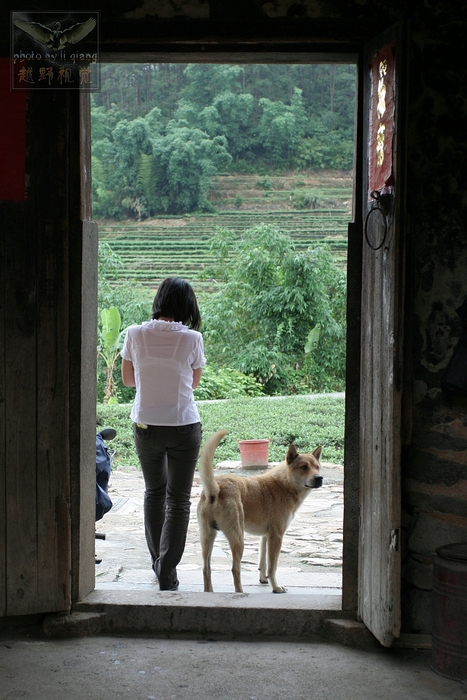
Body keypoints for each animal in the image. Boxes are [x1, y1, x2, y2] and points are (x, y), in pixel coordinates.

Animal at [196, 430, 324, 592]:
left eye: (317, 467)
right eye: (304, 467)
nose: (319, 478)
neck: (285, 485)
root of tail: (215, 489)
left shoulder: (265, 536)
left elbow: (263, 562)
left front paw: (263, 579)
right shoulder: (276, 536)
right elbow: (272, 567)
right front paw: (276, 587)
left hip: (207, 537)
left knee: (206, 569)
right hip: (238, 539)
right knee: (235, 569)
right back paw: (240, 592)